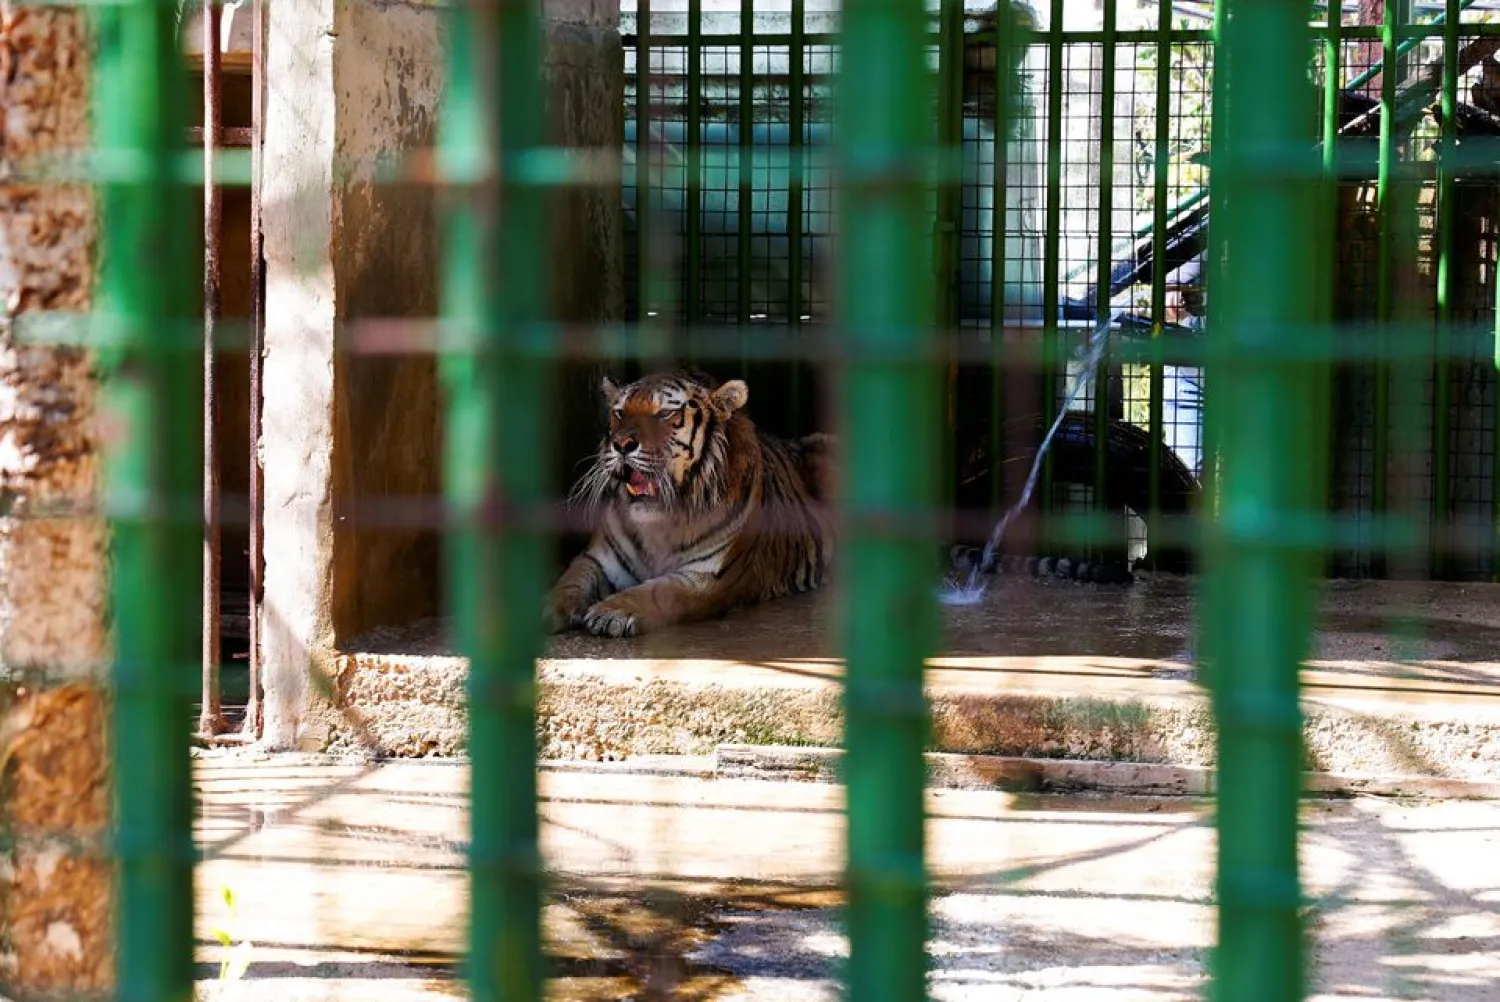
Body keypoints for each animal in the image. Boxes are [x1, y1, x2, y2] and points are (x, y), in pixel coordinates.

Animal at [545, 370, 836, 638]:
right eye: (619, 413)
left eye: (664, 413)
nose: (621, 444)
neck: (657, 522)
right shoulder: (596, 560)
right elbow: (569, 583)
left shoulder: (708, 576)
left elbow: (657, 590)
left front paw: (611, 611)